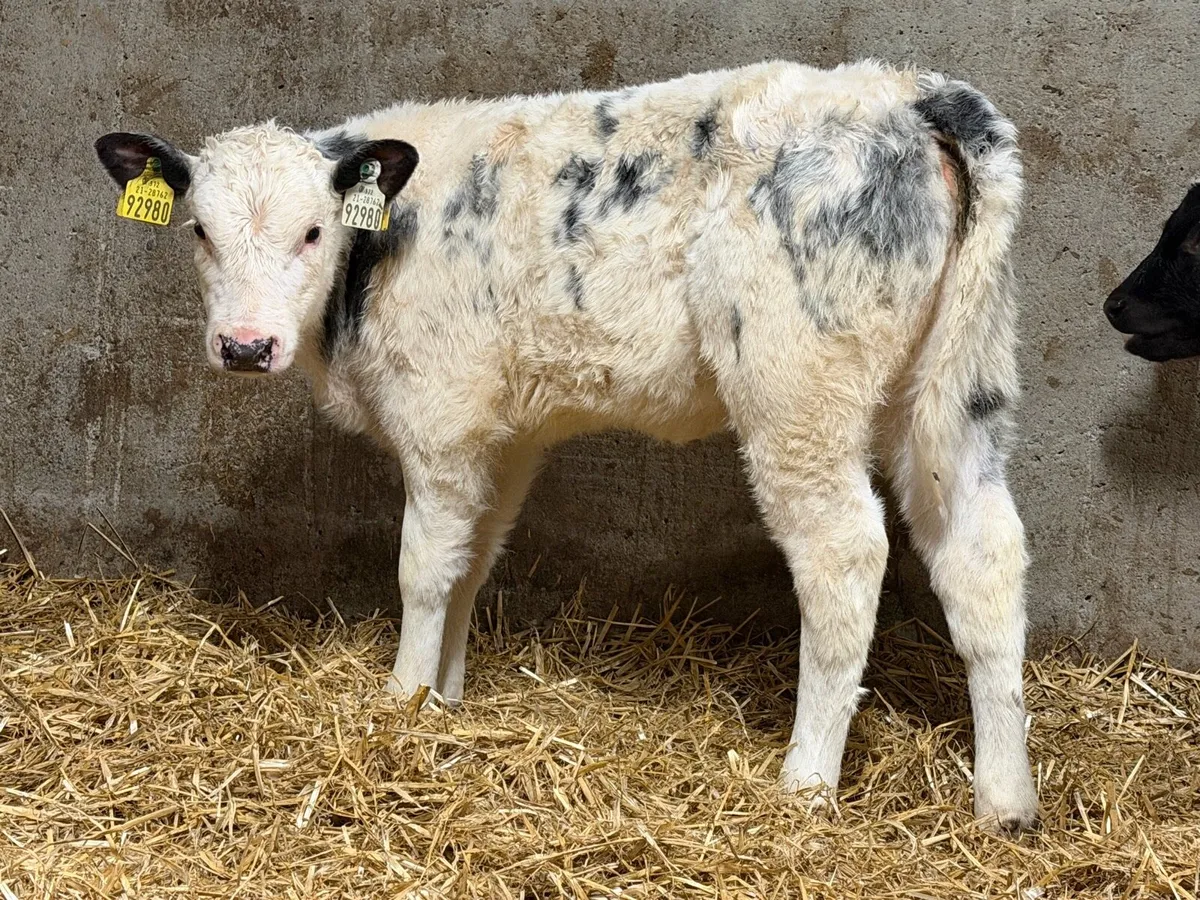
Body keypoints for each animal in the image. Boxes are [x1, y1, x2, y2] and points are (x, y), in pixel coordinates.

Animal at [96, 59, 1038, 830]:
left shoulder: (439, 415)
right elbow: (474, 560)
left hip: (797, 390)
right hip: (957, 385)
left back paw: (805, 781)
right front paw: (447, 697)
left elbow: (422, 567)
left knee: (844, 554)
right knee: (981, 553)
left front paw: (403, 703)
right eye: (199, 231)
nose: (245, 346)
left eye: (313, 232)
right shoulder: (504, 433)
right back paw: (1006, 801)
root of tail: (908, 93)